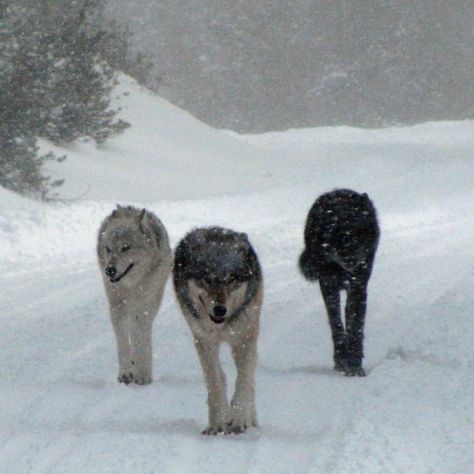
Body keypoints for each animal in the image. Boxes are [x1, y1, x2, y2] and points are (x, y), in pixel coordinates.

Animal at [97, 206, 171, 384]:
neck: (131, 285)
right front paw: (126, 373)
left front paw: (142, 374)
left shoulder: (143, 307)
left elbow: (139, 339)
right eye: (108, 248)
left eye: (125, 247)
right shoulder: (117, 306)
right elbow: (123, 341)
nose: (109, 270)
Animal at [173, 228, 264, 436]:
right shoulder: (204, 341)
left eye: (231, 279)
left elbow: (244, 381)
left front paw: (239, 420)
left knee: (251, 381)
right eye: (207, 279)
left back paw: (251, 420)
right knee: (221, 377)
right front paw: (217, 425)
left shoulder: (244, 339)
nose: (220, 310)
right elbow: (215, 382)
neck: (221, 327)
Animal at [300, 189, 382, 378]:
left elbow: (356, 325)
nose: (350, 259)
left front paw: (355, 365)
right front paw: (342, 360)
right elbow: (336, 323)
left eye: (359, 232)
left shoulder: (359, 285)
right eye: (341, 235)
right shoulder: (328, 285)